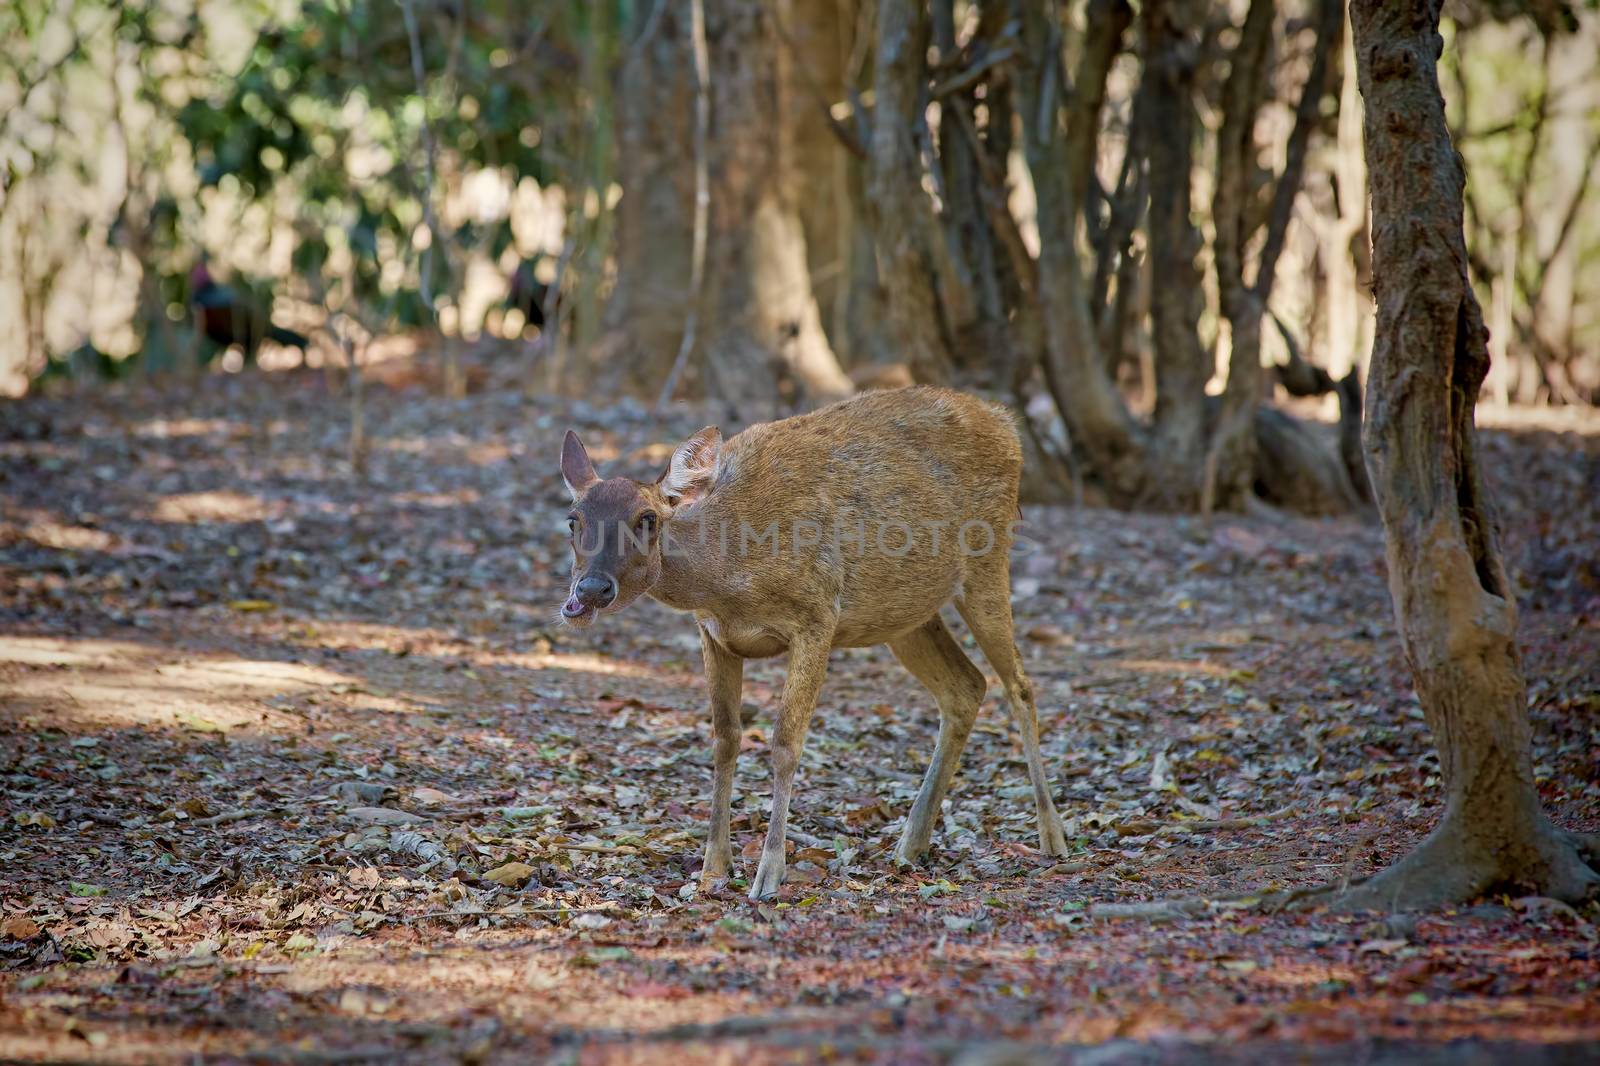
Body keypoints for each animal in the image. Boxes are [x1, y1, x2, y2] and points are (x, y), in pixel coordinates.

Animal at [556, 384, 1068, 896]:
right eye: (572, 519)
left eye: (648, 518)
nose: (591, 589)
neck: (729, 580)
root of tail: (1005, 422)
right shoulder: (712, 633)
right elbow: (726, 738)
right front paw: (713, 868)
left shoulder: (818, 615)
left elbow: (786, 742)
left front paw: (768, 873)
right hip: (905, 615)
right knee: (966, 686)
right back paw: (910, 844)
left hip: (987, 564)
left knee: (1019, 685)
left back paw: (1052, 837)